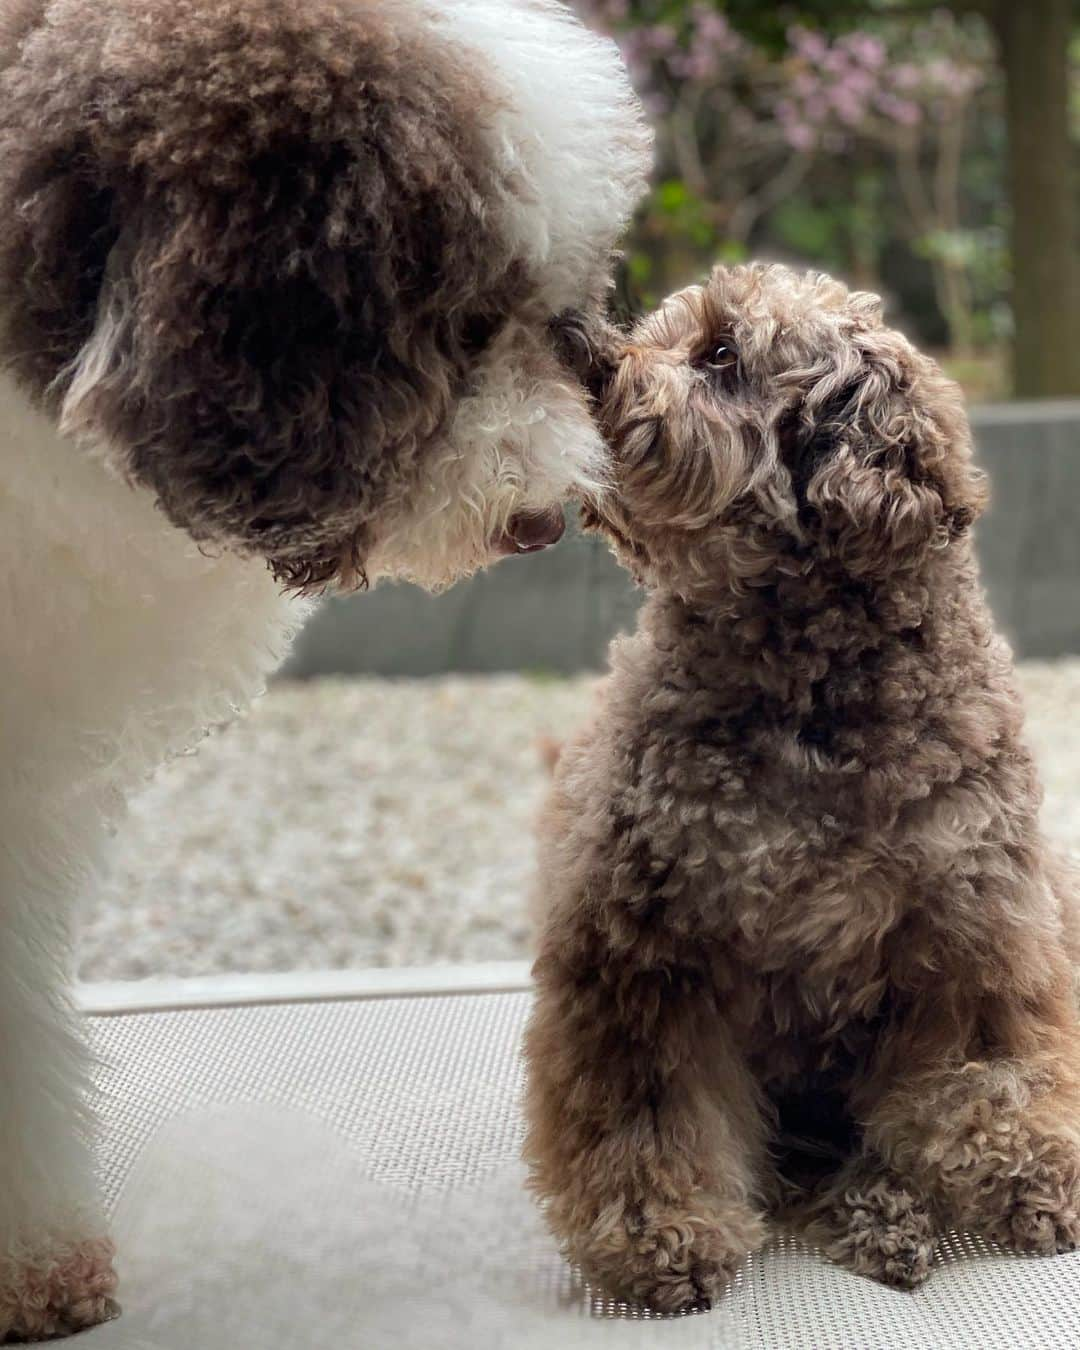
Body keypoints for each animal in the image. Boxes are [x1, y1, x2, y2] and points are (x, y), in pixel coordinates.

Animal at [523, 260, 1080, 1306]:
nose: (580, 343)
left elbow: (993, 1069)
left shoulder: (972, 924)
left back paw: (885, 1210)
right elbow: (648, 1111)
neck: (805, 696)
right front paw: (661, 1235)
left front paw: (1029, 1168)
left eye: (719, 352)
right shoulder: (640, 944)